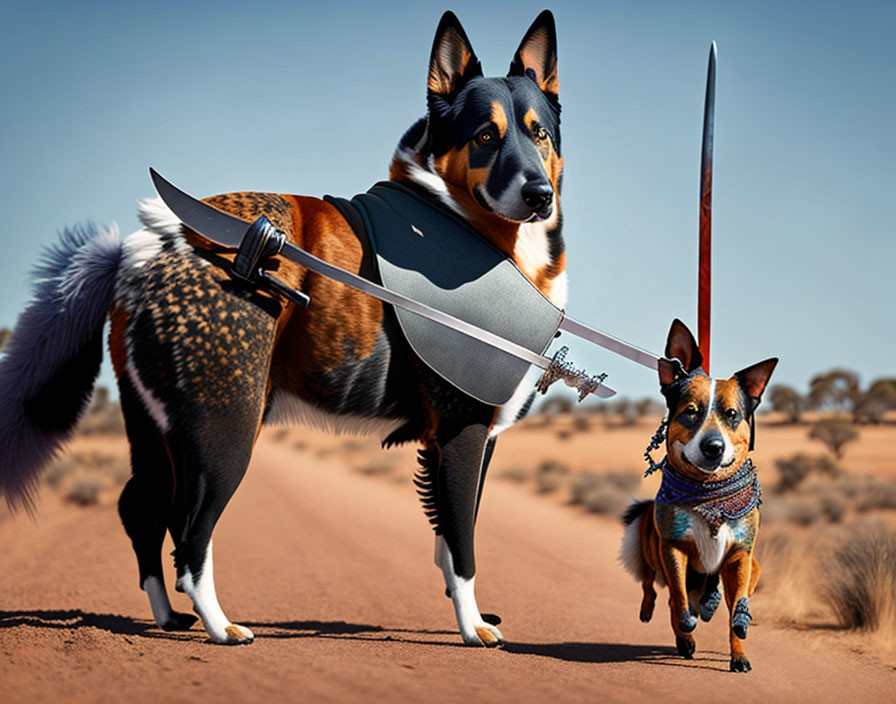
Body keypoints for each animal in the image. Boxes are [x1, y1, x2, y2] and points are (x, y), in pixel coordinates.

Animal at [0, 12, 568, 648]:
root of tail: (144, 245)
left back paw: (168, 618)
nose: (539, 195)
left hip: (152, 430)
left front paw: (466, 613)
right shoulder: (463, 433)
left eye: (540, 134)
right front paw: (474, 630)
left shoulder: (471, 439)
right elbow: (464, 542)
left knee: (140, 509)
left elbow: (449, 537)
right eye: (485, 137)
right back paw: (221, 627)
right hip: (223, 430)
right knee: (190, 533)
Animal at [624, 320, 776, 672]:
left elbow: (735, 615)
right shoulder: (674, 548)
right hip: (650, 547)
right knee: (652, 587)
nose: (713, 447)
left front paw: (739, 656)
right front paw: (685, 629)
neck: (709, 498)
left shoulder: (739, 557)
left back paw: (709, 602)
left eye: (732, 414)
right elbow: (677, 599)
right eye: (691, 412)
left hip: (754, 566)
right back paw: (664, 620)